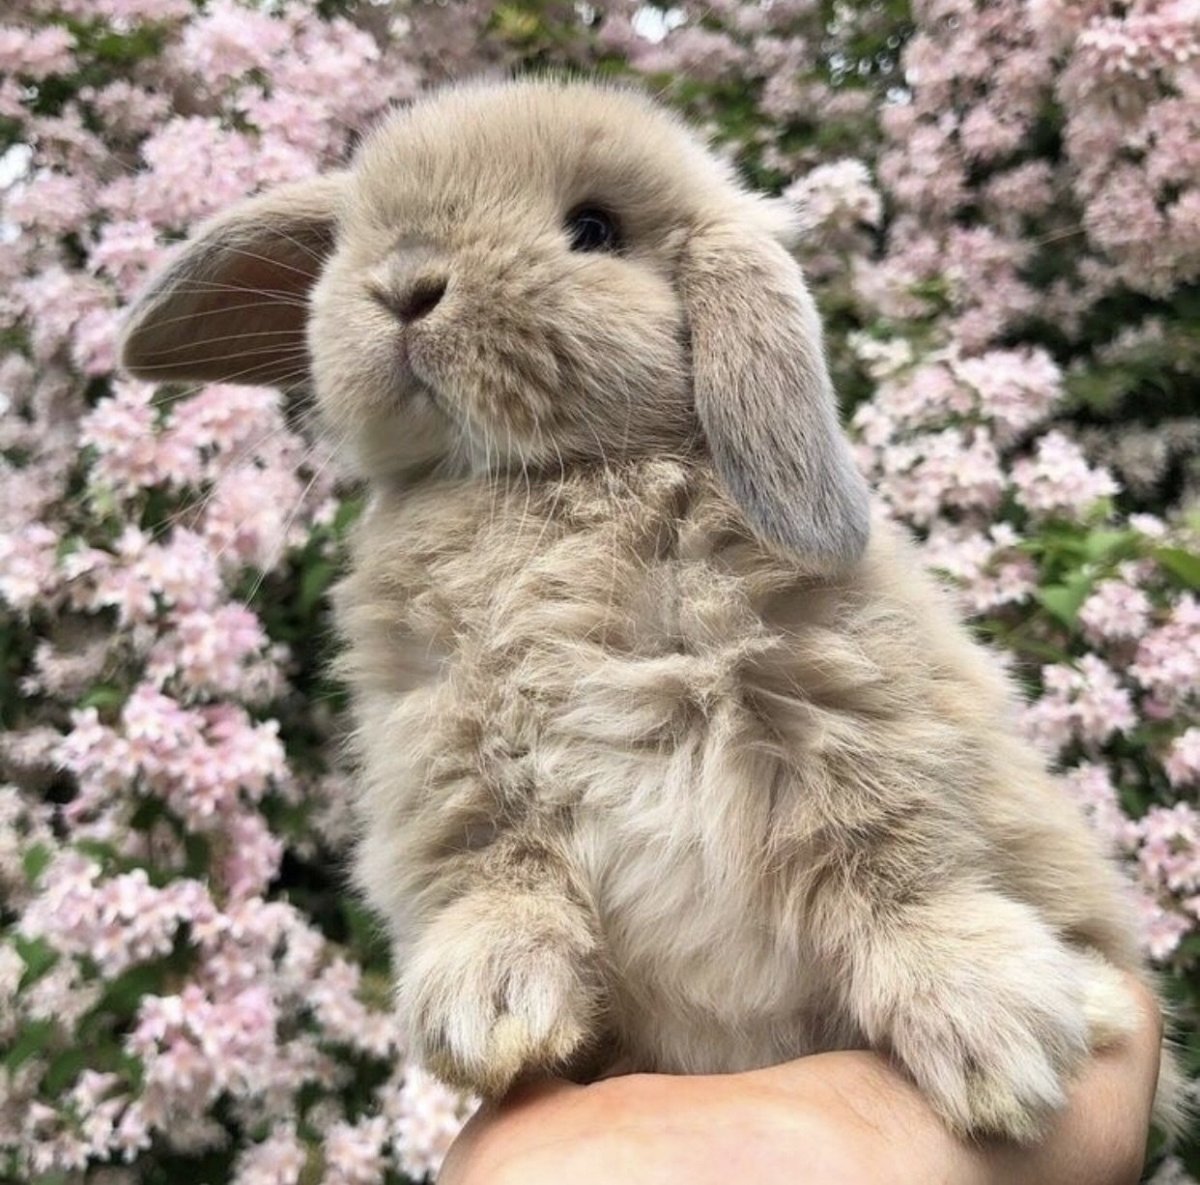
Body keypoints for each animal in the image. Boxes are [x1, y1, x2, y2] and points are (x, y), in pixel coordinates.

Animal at [118, 77, 1183, 1144]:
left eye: (594, 228)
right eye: (352, 238)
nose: (406, 285)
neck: (550, 482)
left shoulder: (850, 705)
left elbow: (903, 848)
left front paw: (995, 1024)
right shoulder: (445, 748)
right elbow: (494, 868)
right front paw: (485, 1002)